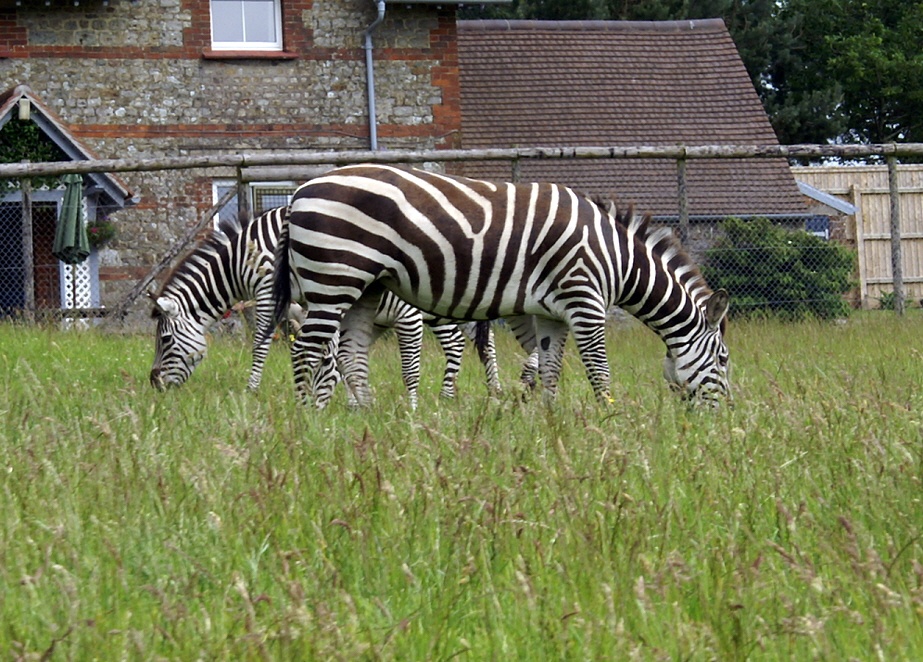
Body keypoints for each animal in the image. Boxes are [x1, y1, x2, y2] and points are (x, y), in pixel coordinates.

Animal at [149, 205, 501, 407]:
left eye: (164, 340)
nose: (155, 386)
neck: (241, 258)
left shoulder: (268, 292)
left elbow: (261, 342)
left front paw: (252, 390)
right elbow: (329, 349)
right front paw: (342, 395)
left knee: (462, 342)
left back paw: (456, 395)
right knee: (476, 341)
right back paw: (486, 392)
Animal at [272, 164, 730, 407]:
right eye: (724, 360)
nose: (725, 415)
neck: (616, 257)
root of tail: (300, 191)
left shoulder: (553, 313)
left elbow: (550, 371)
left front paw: (555, 425)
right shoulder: (585, 300)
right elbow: (599, 371)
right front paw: (609, 423)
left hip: (364, 289)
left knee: (350, 355)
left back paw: (365, 417)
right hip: (334, 280)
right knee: (306, 351)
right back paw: (309, 422)